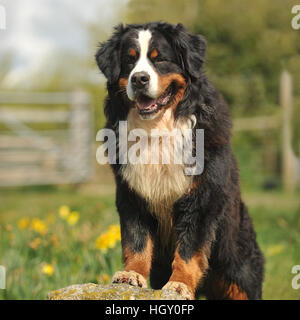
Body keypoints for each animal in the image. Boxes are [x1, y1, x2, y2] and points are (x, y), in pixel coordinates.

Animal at [95, 21, 264, 300]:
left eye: (160, 59)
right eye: (129, 61)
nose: (139, 79)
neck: (157, 129)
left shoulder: (201, 198)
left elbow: (189, 249)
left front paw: (179, 284)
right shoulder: (132, 194)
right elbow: (136, 240)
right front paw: (131, 275)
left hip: (237, 270)